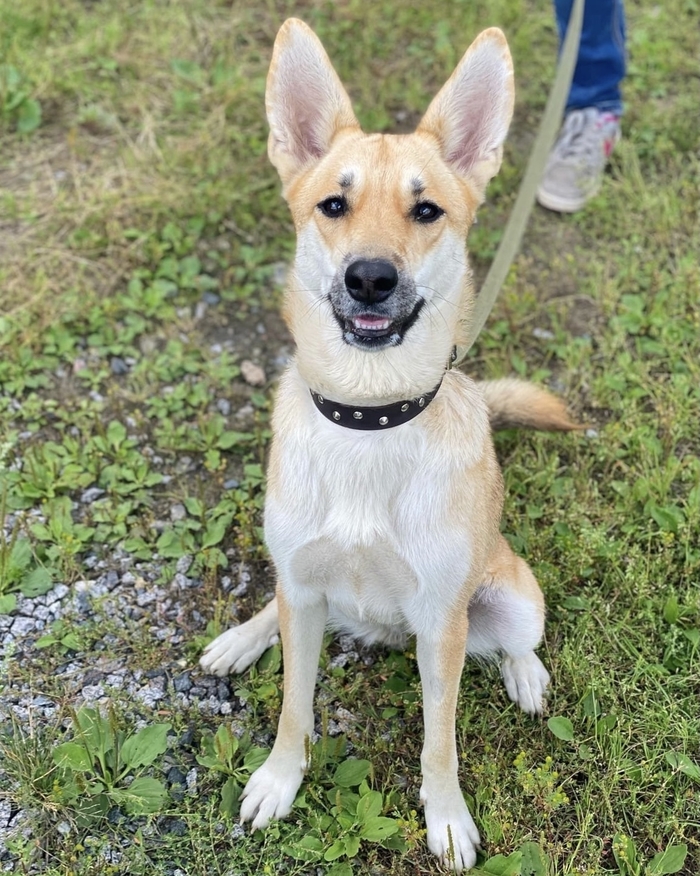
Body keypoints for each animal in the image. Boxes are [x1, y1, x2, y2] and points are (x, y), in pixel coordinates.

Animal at [200, 18, 576, 868]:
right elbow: (294, 709)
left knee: (515, 639)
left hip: (509, 595)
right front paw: (278, 780)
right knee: (279, 600)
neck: (369, 418)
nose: (369, 277)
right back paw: (242, 637)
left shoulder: (441, 620)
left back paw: (527, 676)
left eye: (427, 209)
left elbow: (441, 742)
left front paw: (447, 819)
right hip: (303, 582)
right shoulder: (305, 591)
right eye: (333, 204)